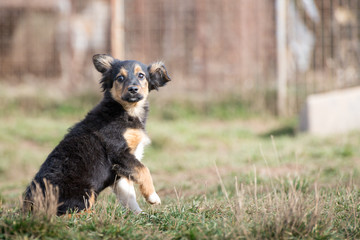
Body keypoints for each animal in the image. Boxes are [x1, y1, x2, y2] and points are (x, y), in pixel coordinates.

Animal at [23, 54, 172, 214]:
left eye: (141, 75)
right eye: (120, 78)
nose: (133, 89)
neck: (127, 111)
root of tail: (29, 207)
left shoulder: (121, 170)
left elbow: (129, 195)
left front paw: (139, 214)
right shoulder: (119, 152)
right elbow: (144, 169)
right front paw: (152, 197)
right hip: (86, 192)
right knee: (70, 213)